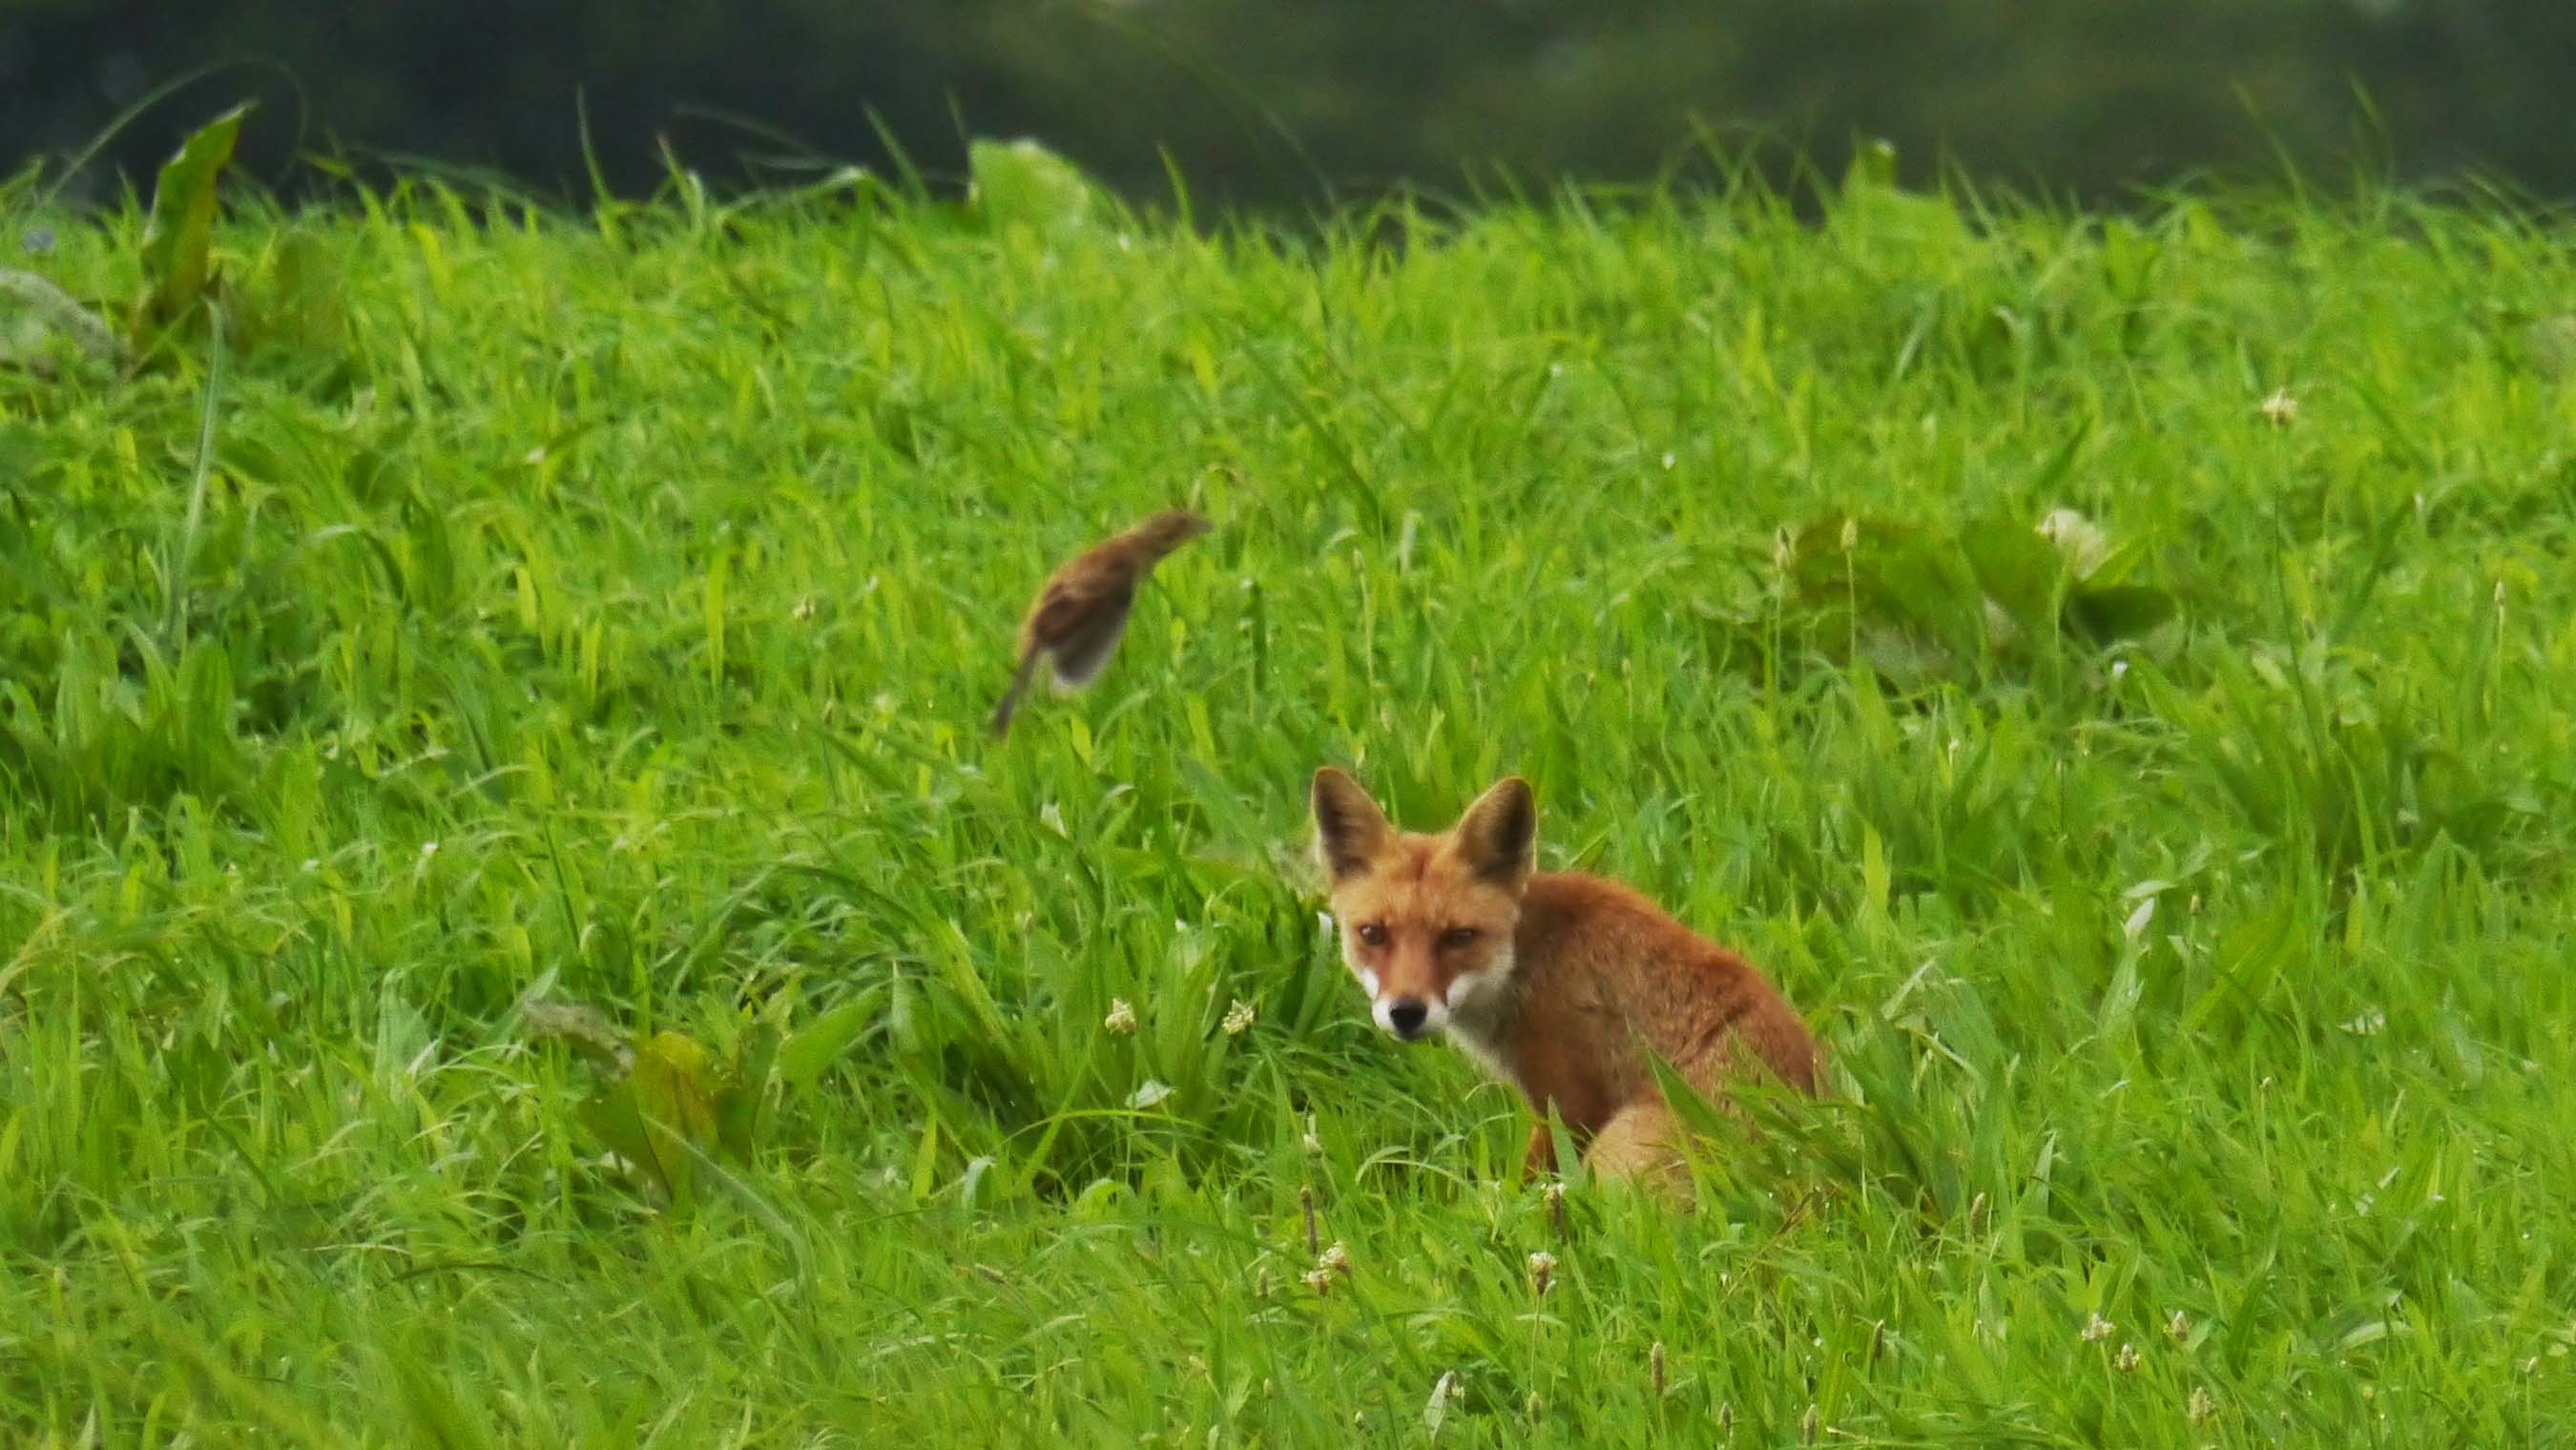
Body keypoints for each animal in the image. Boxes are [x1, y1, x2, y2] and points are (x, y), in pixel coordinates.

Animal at [1309, 766, 1821, 1189]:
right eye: (1372, 934)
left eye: (1459, 937)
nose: (1407, 1012)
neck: (1527, 958)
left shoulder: (1569, 1102)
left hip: (1619, 1144)